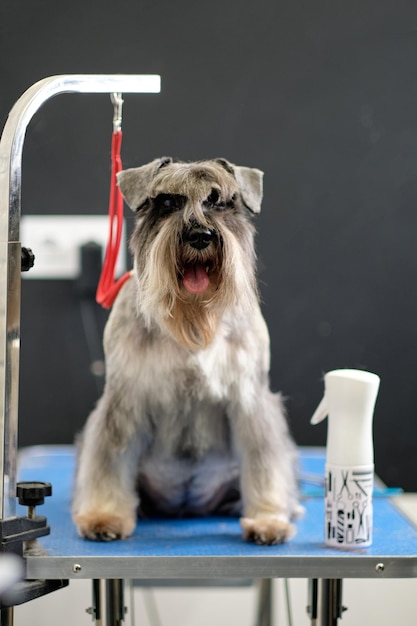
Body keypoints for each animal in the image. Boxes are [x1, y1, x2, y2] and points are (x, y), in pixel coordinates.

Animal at [71, 156, 300, 540]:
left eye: (220, 202)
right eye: (168, 202)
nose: (200, 235)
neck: (192, 323)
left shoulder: (250, 399)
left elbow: (264, 460)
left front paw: (268, 518)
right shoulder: (124, 399)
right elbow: (109, 458)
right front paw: (105, 516)